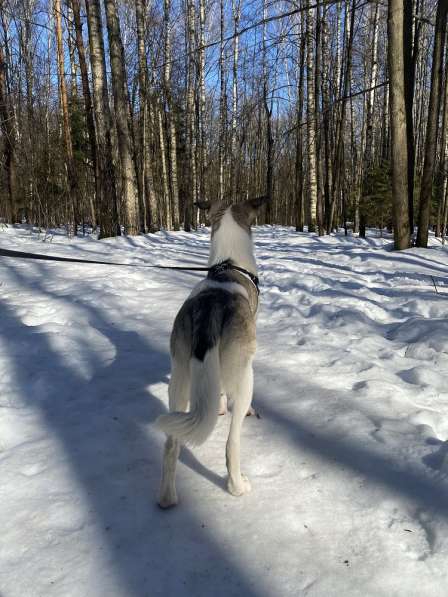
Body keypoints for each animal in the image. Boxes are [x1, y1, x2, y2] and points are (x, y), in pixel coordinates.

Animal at [156, 196, 268, 508]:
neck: (228, 264)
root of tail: (210, 310)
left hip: (179, 379)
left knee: (171, 444)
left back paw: (167, 499)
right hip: (245, 378)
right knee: (232, 445)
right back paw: (238, 487)